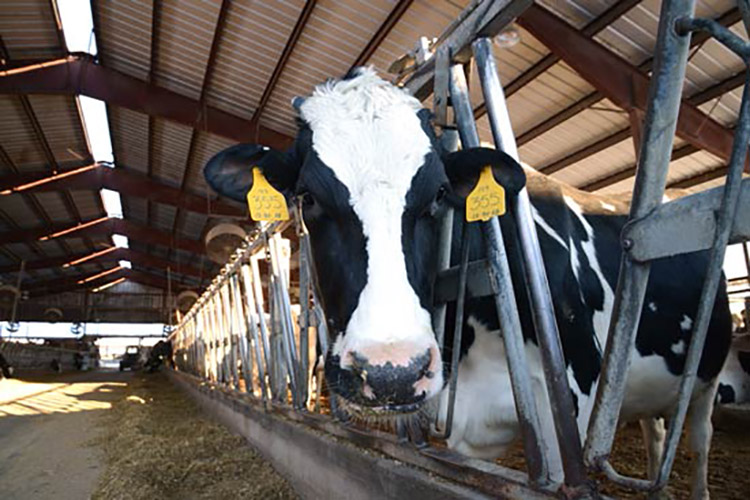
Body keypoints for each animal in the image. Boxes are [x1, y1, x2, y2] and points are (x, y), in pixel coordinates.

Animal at [203, 68, 732, 498]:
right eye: (308, 197)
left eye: (439, 193)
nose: (391, 373)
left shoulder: (573, 407)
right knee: (657, 431)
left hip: (706, 374)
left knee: (701, 438)